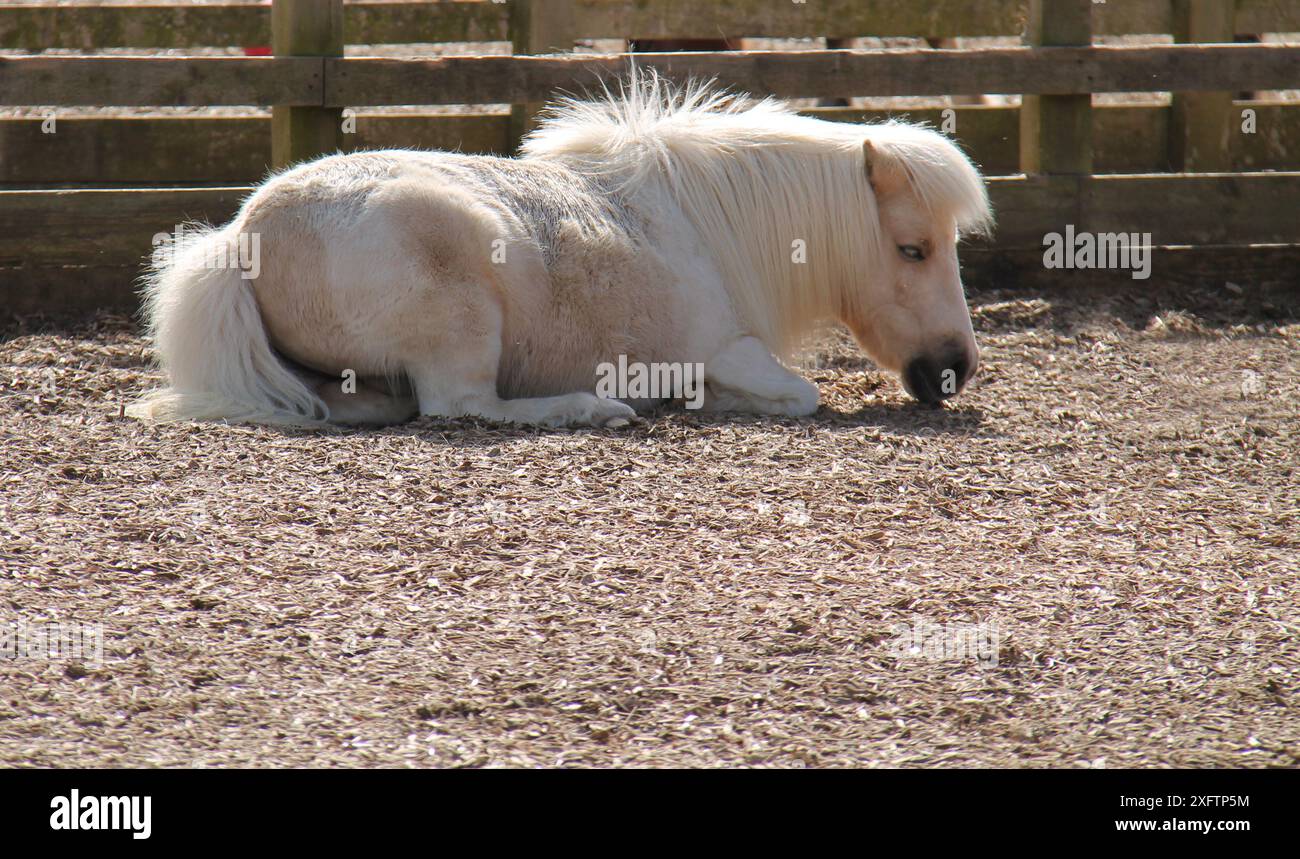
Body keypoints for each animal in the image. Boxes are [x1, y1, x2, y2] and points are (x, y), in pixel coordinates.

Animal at [128, 72, 993, 428]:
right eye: (913, 249)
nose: (954, 367)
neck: (702, 224)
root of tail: (241, 238)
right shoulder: (725, 346)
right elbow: (799, 393)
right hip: (463, 328)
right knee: (463, 406)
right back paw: (594, 407)